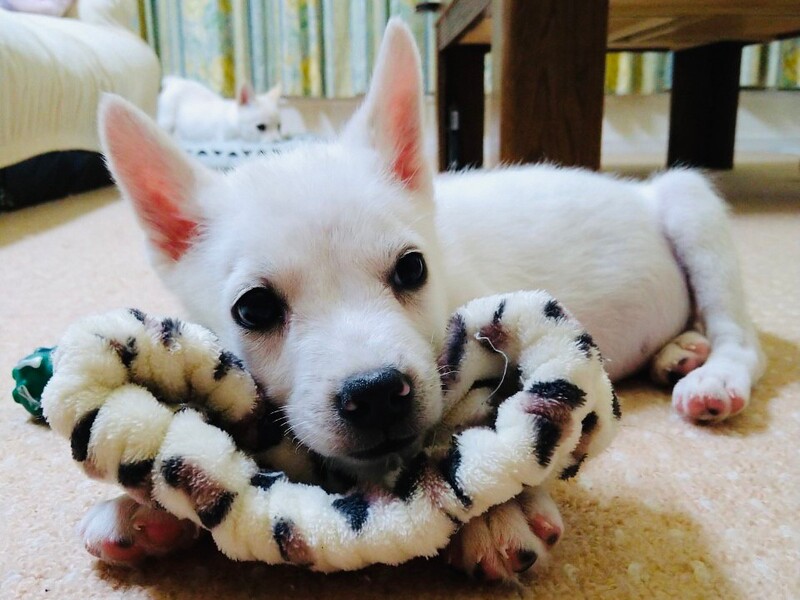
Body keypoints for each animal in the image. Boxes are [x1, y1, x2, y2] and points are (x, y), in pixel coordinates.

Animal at [81, 19, 764, 581]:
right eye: (253, 310)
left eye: (412, 270)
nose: (378, 393)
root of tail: (640, 190)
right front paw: (145, 509)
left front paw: (496, 510)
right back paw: (678, 349)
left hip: (690, 204)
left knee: (741, 336)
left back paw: (713, 375)